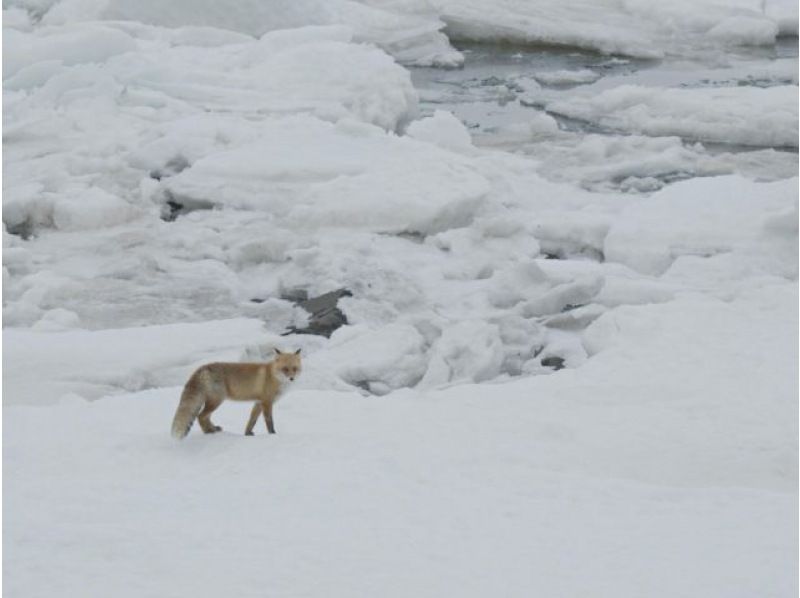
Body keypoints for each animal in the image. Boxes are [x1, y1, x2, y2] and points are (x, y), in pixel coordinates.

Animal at [170, 352, 302, 440]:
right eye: (285, 369)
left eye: (294, 369)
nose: (291, 378)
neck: (272, 375)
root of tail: (203, 368)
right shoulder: (266, 402)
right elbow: (269, 421)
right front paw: (273, 434)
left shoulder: (258, 402)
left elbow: (252, 420)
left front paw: (247, 433)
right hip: (217, 401)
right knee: (200, 416)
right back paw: (208, 432)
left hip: (213, 401)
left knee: (204, 417)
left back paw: (213, 429)